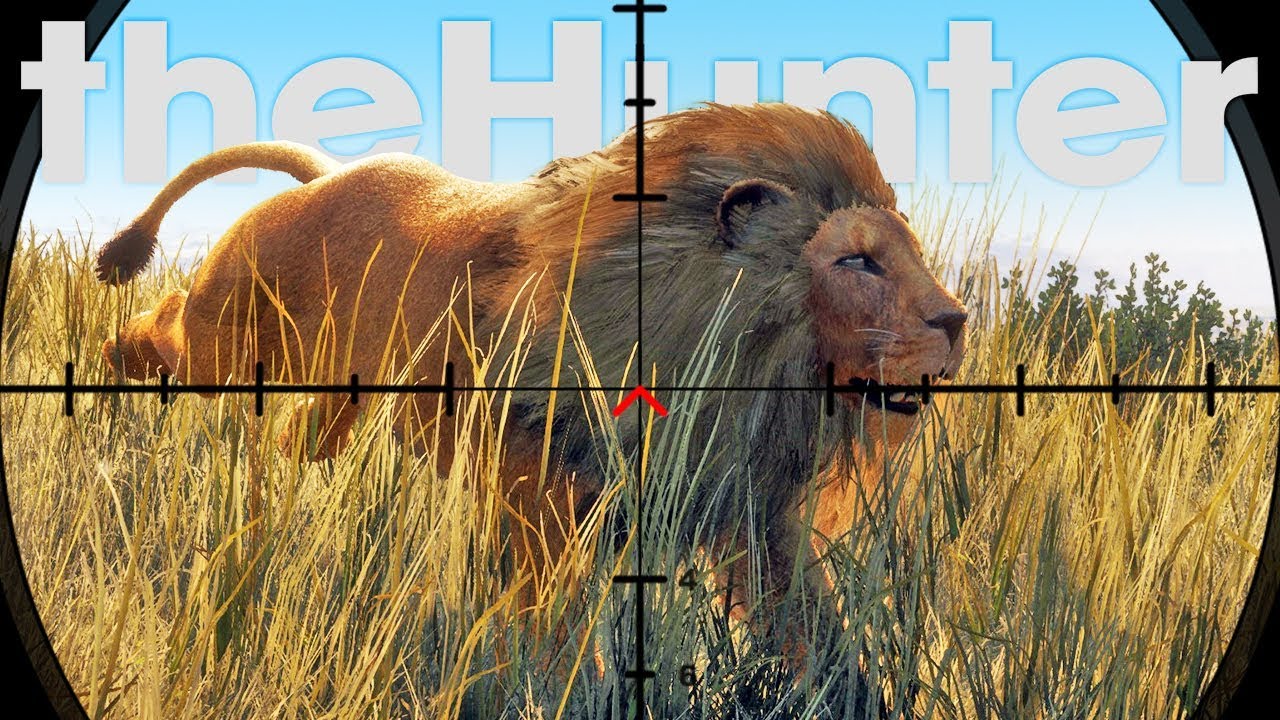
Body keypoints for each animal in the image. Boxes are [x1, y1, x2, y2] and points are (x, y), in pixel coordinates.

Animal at [95, 102, 967, 684]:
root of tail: (328, 175)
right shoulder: (543, 507)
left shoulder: (752, 518)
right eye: (857, 262)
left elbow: (819, 636)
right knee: (166, 323)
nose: (957, 320)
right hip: (228, 335)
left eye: (908, 252)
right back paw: (111, 356)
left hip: (344, 399)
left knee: (296, 436)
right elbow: (555, 634)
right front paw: (556, 691)